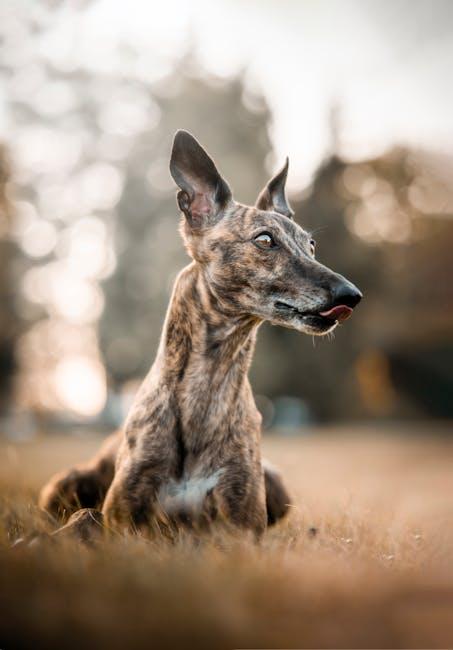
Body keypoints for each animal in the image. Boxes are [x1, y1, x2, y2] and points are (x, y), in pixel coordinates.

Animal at [40, 130, 362, 536]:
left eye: (311, 245)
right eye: (265, 240)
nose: (351, 295)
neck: (205, 390)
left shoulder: (240, 521)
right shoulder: (123, 516)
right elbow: (88, 519)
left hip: (274, 481)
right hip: (64, 483)